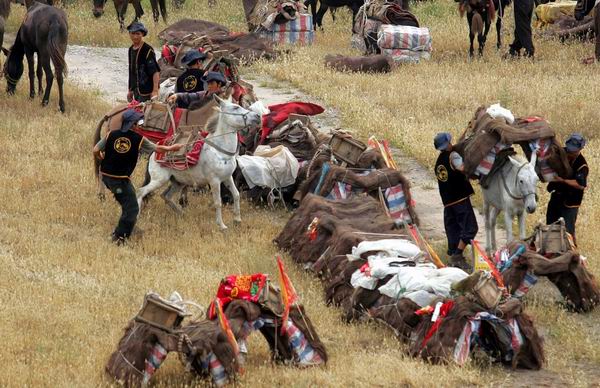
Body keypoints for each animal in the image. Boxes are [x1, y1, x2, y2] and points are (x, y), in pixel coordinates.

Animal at [138, 96, 260, 230]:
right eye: (235, 107)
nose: (257, 116)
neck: (220, 151)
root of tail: (156, 149)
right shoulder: (215, 181)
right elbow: (218, 202)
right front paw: (222, 225)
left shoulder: (228, 178)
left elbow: (236, 195)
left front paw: (237, 220)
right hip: (159, 180)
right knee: (141, 192)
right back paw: (137, 216)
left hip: (178, 182)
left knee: (166, 196)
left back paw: (182, 213)